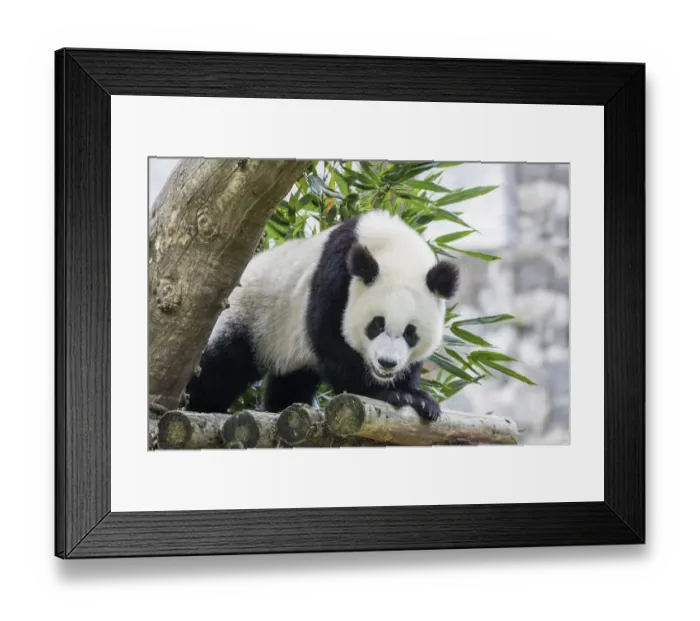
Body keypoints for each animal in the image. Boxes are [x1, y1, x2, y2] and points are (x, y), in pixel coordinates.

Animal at [182, 210, 460, 421]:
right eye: (376, 325)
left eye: (411, 333)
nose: (386, 363)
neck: (393, 245)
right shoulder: (336, 274)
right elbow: (330, 338)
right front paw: (387, 393)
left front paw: (416, 397)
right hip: (248, 316)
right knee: (221, 367)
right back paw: (196, 404)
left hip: (286, 347)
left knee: (291, 383)